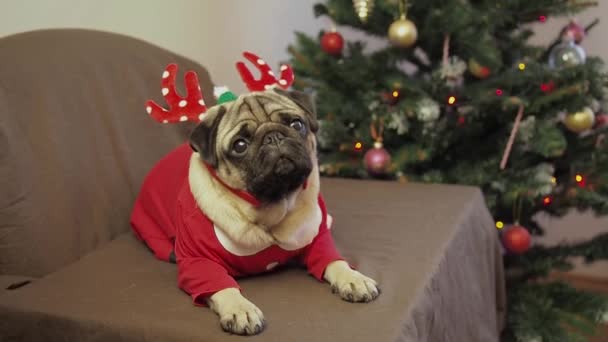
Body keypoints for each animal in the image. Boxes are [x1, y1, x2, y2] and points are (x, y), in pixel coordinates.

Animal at [132, 87, 380, 336]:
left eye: (296, 124)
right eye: (240, 145)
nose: (274, 137)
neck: (273, 207)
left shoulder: (317, 238)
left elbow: (333, 260)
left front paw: (353, 278)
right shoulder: (197, 261)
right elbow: (223, 286)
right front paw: (240, 309)